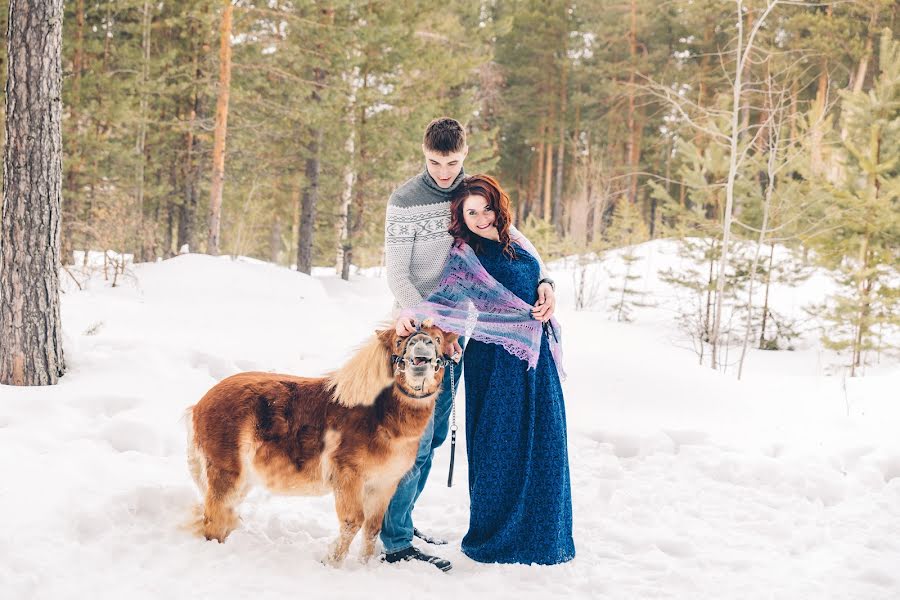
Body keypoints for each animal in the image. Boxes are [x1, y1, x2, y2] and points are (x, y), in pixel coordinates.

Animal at [188, 324, 458, 564]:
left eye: (437, 338)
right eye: (400, 339)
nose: (421, 344)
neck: (378, 417)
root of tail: (200, 404)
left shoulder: (383, 485)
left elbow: (372, 528)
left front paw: (364, 566)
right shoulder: (348, 477)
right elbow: (352, 522)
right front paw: (332, 562)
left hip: (244, 479)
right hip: (227, 475)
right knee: (215, 516)